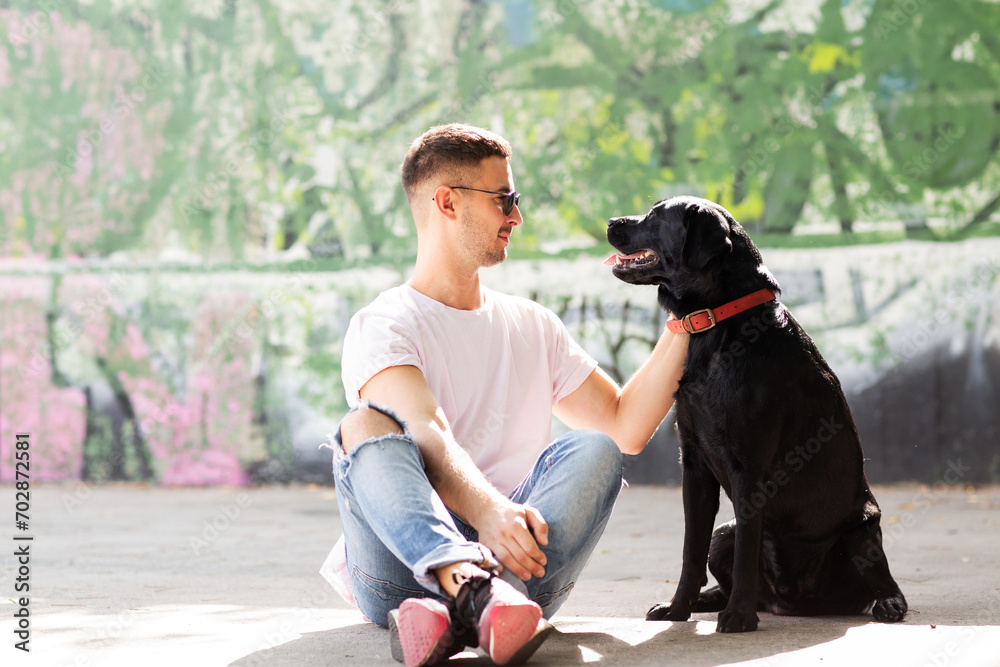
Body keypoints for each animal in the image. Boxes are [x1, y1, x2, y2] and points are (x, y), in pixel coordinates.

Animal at [604, 196, 912, 636]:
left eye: (657, 215)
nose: (611, 221)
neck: (718, 324)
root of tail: (788, 604)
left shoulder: (751, 468)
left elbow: (747, 550)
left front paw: (739, 617)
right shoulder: (694, 465)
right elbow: (690, 550)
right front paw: (678, 609)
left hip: (861, 530)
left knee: (883, 578)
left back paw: (887, 603)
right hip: (723, 534)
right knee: (719, 567)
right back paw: (707, 601)